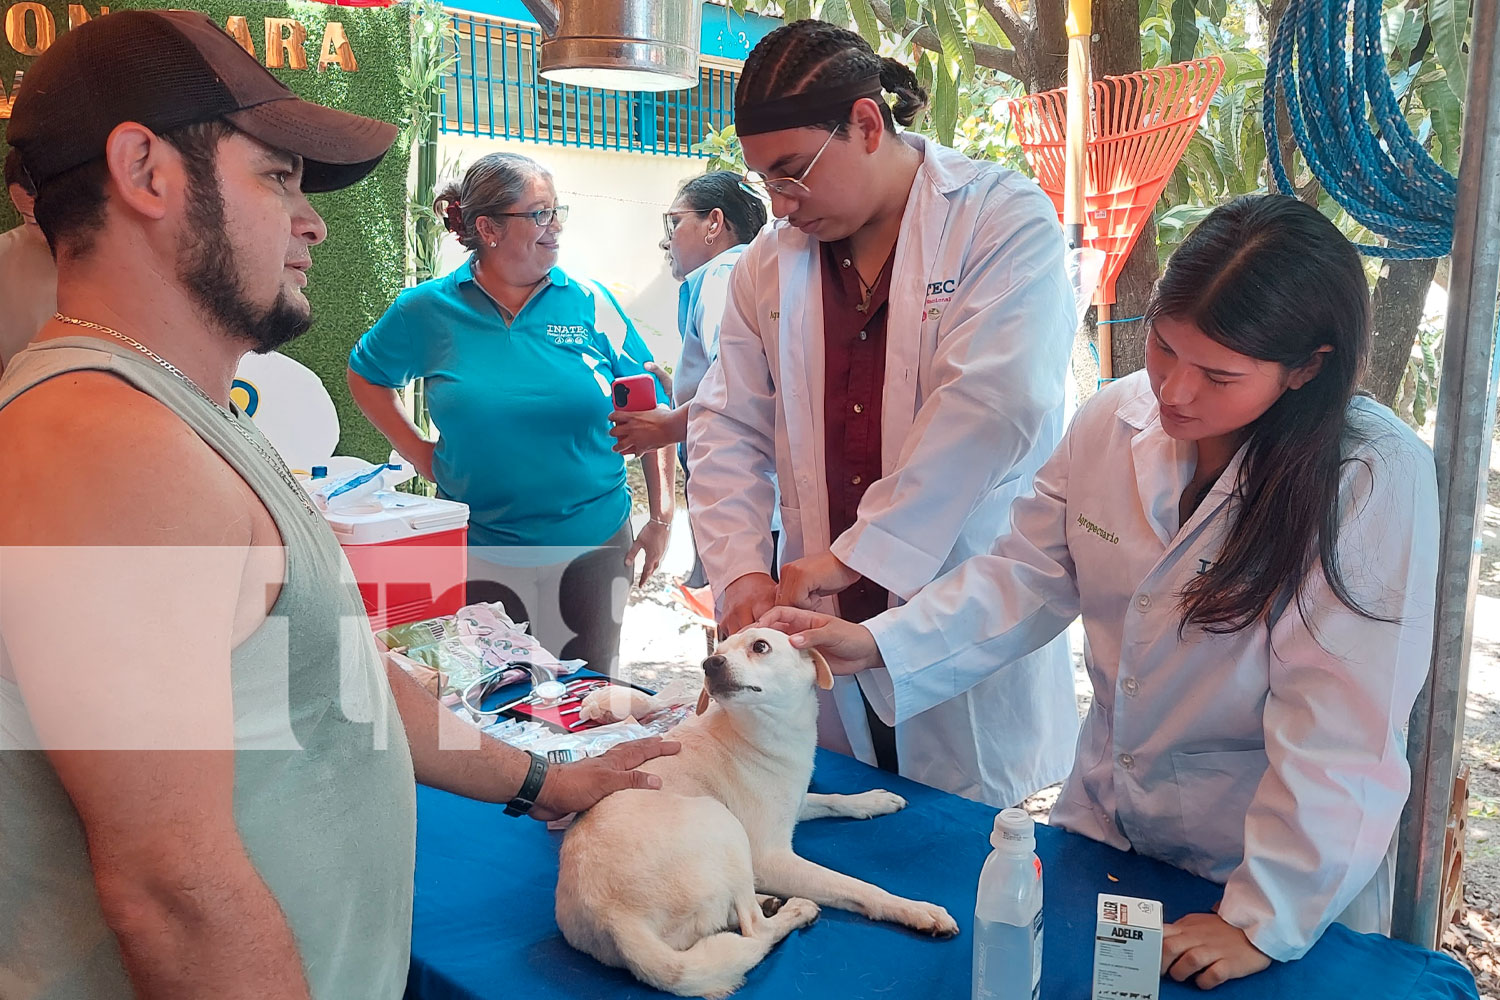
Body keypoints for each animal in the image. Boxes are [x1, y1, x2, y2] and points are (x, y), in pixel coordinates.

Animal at [555, 629, 960, 995]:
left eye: (760, 647)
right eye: (715, 651)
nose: (710, 663)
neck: (764, 732)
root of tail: (614, 917)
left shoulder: (796, 805)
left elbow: (834, 799)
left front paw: (873, 800)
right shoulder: (771, 857)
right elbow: (856, 886)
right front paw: (915, 910)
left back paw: (768, 900)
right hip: (725, 827)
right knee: (754, 930)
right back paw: (794, 911)